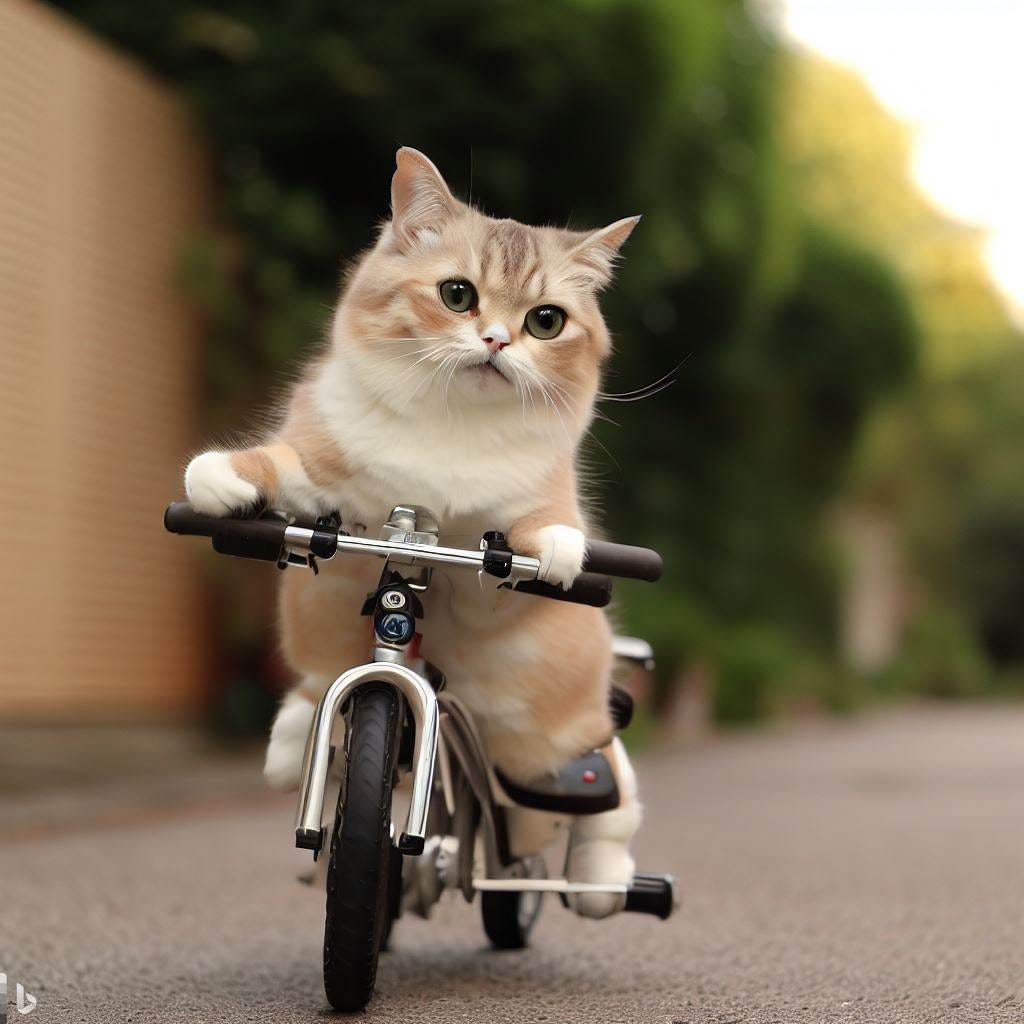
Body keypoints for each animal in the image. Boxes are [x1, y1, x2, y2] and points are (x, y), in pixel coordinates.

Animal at [184, 146, 638, 921]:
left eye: (546, 321)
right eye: (458, 295)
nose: (496, 340)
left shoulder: (494, 571)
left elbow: (526, 535)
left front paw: (554, 548)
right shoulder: (330, 489)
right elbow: (284, 463)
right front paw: (219, 475)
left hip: (548, 729)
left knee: (593, 788)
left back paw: (602, 877)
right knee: (316, 688)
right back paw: (289, 741)